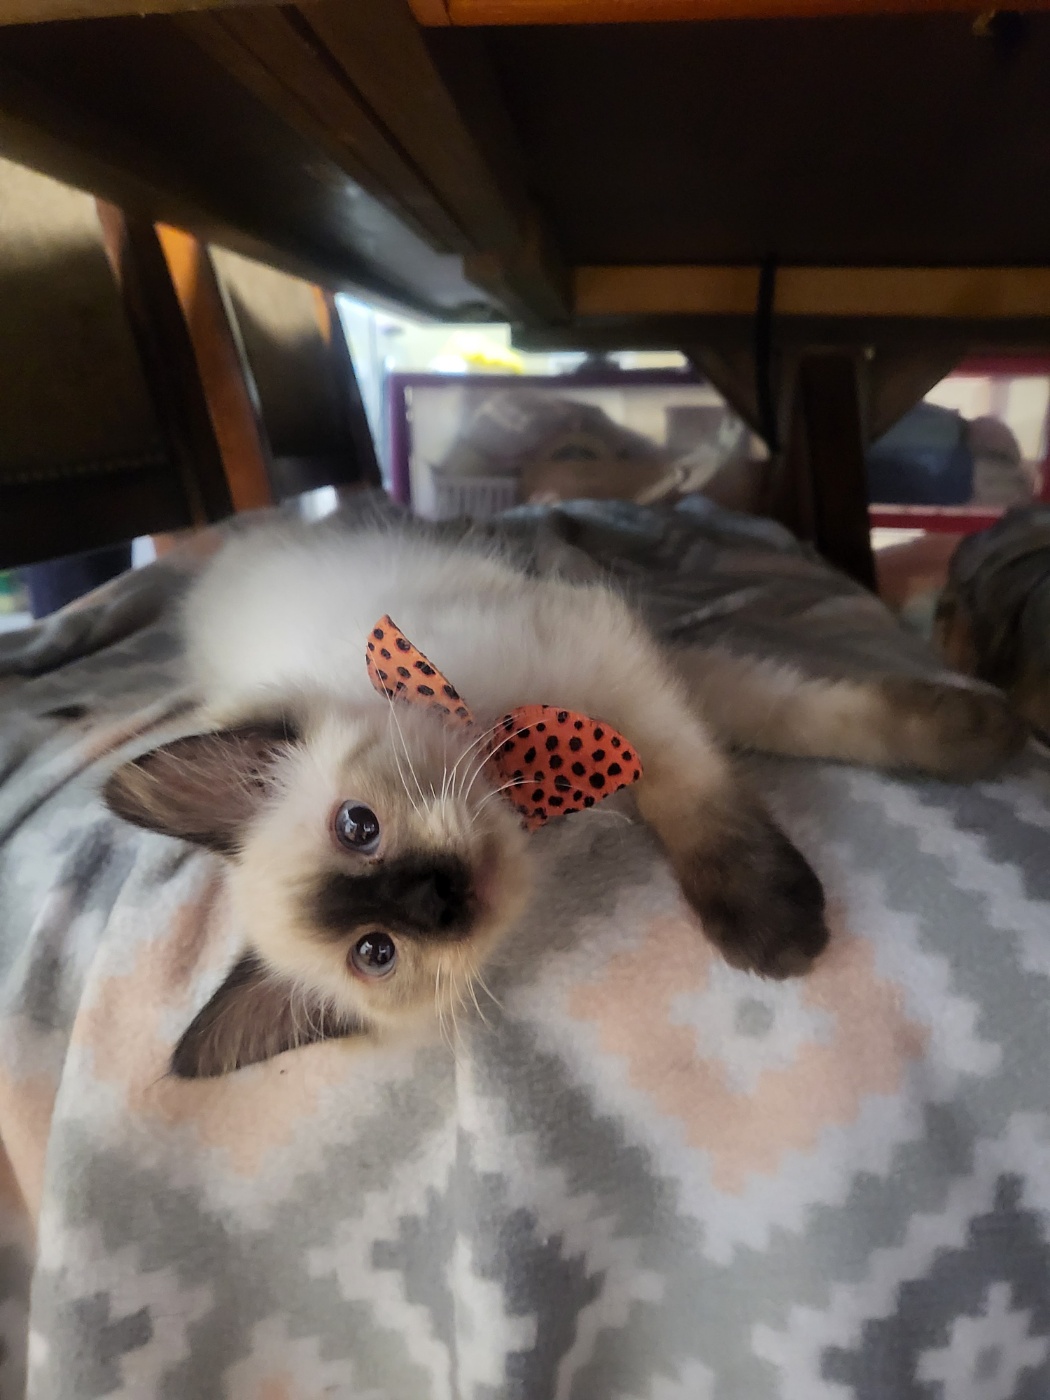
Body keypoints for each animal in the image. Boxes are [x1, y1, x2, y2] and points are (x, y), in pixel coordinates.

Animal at [104, 515, 1021, 1078]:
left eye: (358, 826)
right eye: (377, 953)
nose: (437, 897)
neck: (529, 787)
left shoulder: (615, 663)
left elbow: (778, 734)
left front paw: (983, 733)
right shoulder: (638, 700)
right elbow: (727, 765)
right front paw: (778, 934)